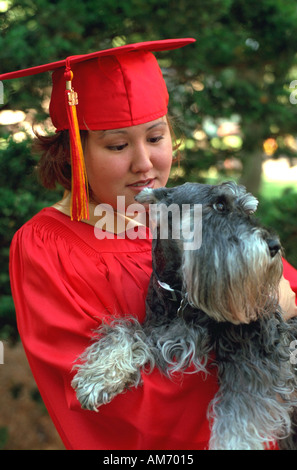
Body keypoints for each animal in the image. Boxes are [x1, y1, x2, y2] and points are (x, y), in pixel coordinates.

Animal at [71, 182, 296, 450]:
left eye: (249, 210)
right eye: (220, 205)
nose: (275, 245)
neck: (182, 295)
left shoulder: (257, 348)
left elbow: (241, 410)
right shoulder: (161, 331)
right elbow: (127, 332)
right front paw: (99, 375)